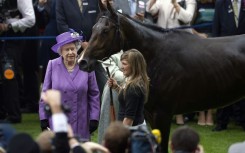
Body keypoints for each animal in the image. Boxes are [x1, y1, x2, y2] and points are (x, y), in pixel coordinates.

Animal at [78, 1, 245, 153]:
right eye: (94, 28)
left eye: (106, 30)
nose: (83, 62)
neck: (156, 54)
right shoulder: (150, 115)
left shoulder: (163, 114)